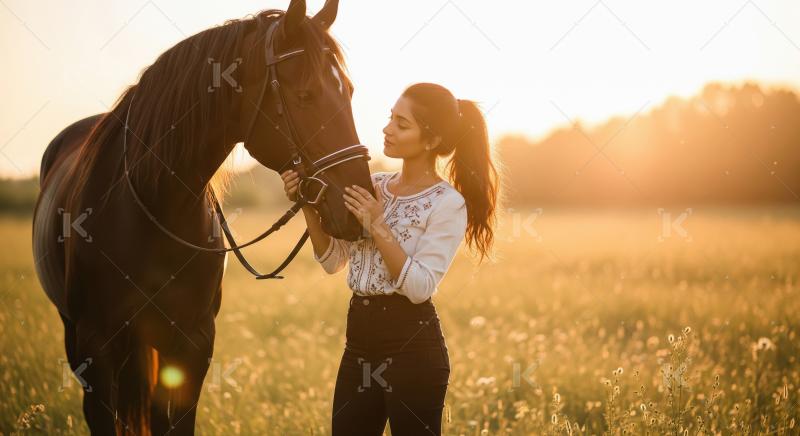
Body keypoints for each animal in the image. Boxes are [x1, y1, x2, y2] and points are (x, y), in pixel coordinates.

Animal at [31, 1, 371, 434]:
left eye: (349, 92)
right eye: (306, 95)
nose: (359, 204)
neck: (155, 206)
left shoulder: (193, 344)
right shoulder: (96, 346)